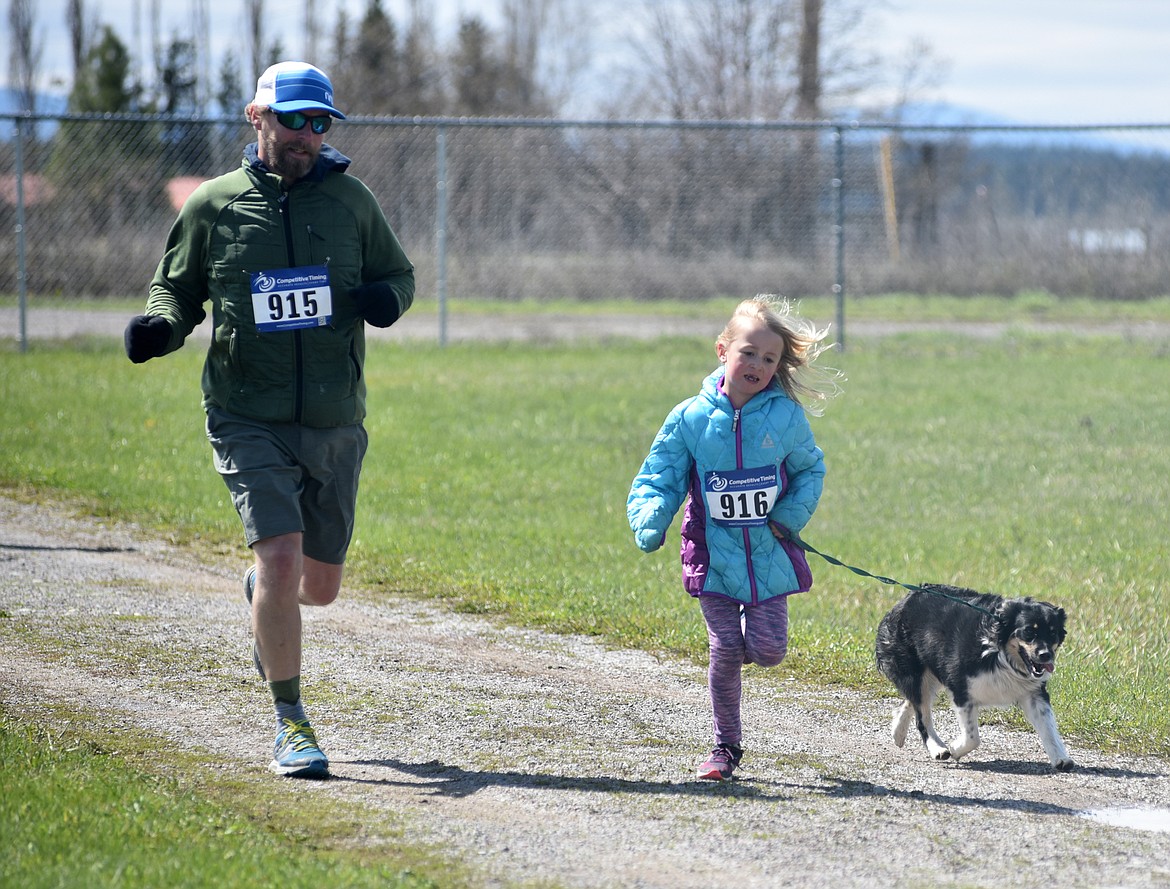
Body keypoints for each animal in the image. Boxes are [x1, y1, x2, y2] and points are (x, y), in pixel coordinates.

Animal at [875, 582, 1071, 772]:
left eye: (1053, 633)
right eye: (1029, 631)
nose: (1046, 655)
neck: (999, 653)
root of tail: (908, 597)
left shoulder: (1034, 694)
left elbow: (1048, 727)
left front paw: (1061, 759)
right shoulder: (961, 689)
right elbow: (973, 737)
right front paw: (954, 749)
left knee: (912, 701)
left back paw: (898, 732)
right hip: (914, 671)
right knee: (921, 715)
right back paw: (937, 748)